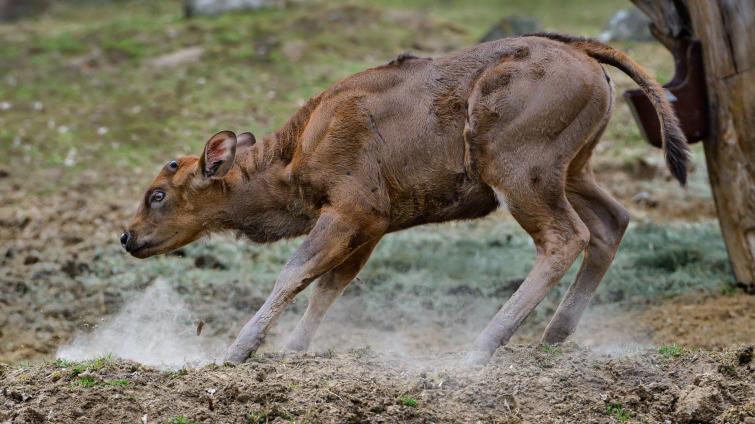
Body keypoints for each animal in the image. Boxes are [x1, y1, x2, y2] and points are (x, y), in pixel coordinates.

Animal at [122, 34, 692, 364]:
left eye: (157, 194)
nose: (128, 237)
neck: (299, 151)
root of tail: (586, 57)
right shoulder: (373, 226)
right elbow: (330, 285)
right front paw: (293, 349)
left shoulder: (350, 210)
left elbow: (296, 273)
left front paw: (236, 350)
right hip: (573, 170)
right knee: (611, 222)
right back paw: (552, 336)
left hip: (518, 173)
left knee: (566, 237)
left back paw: (481, 346)